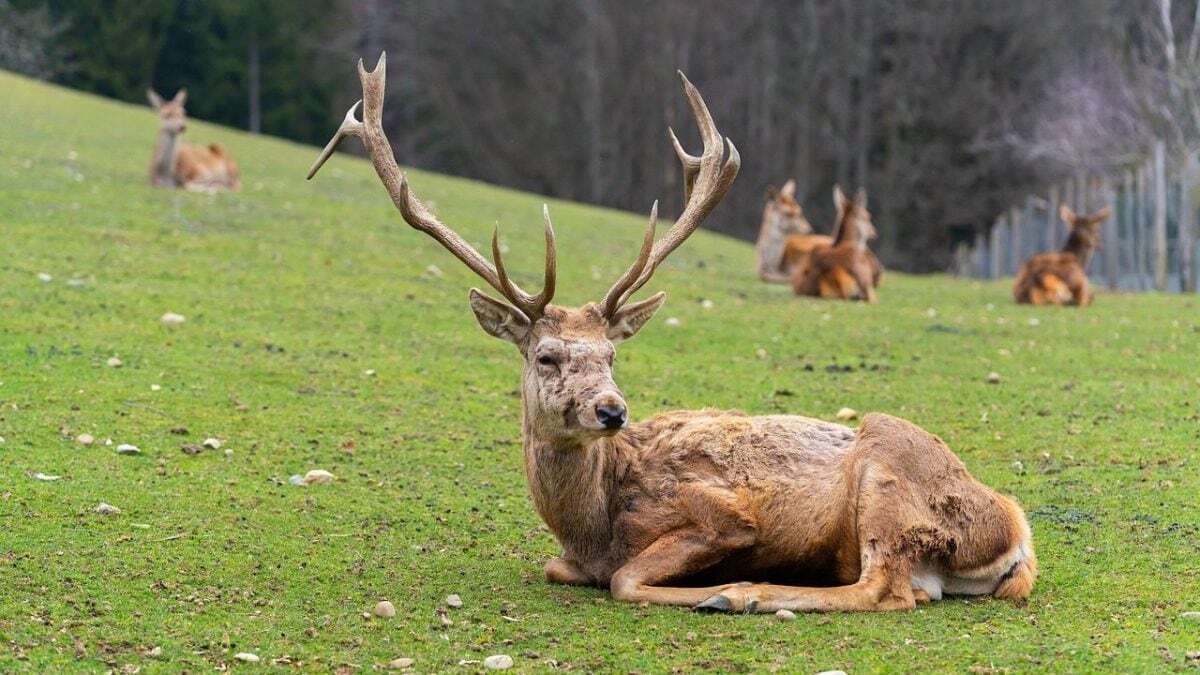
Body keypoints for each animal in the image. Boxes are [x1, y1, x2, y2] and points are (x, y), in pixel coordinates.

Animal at [307, 53, 1032, 610]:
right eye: (546, 356)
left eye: (612, 353)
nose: (611, 409)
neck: (592, 522)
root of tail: (1017, 531)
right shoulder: (571, 554)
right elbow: (558, 566)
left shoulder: (723, 513)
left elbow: (627, 578)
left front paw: (714, 586)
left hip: (889, 473)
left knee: (884, 588)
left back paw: (743, 594)